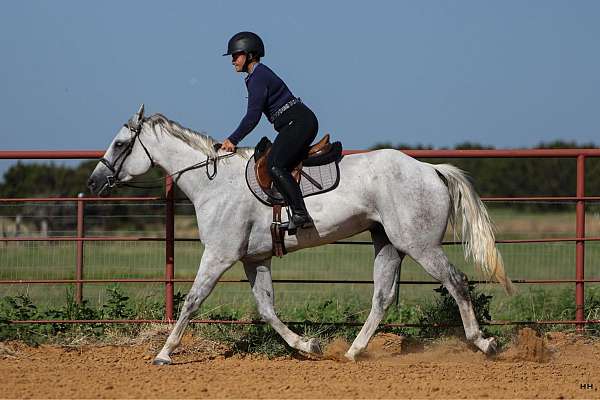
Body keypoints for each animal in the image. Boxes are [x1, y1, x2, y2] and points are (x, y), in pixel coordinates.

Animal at [86, 104, 512, 364]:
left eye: (120, 144)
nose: (94, 182)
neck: (215, 183)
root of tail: (431, 169)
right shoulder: (254, 259)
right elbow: (267, 309)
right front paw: (308, 345)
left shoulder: (219, 255)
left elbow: (192, 301)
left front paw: (163, 353)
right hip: (388, 243)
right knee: (383, 297)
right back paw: (353, 351)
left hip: (420, 244)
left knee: (456, 281)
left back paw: (484, 342)